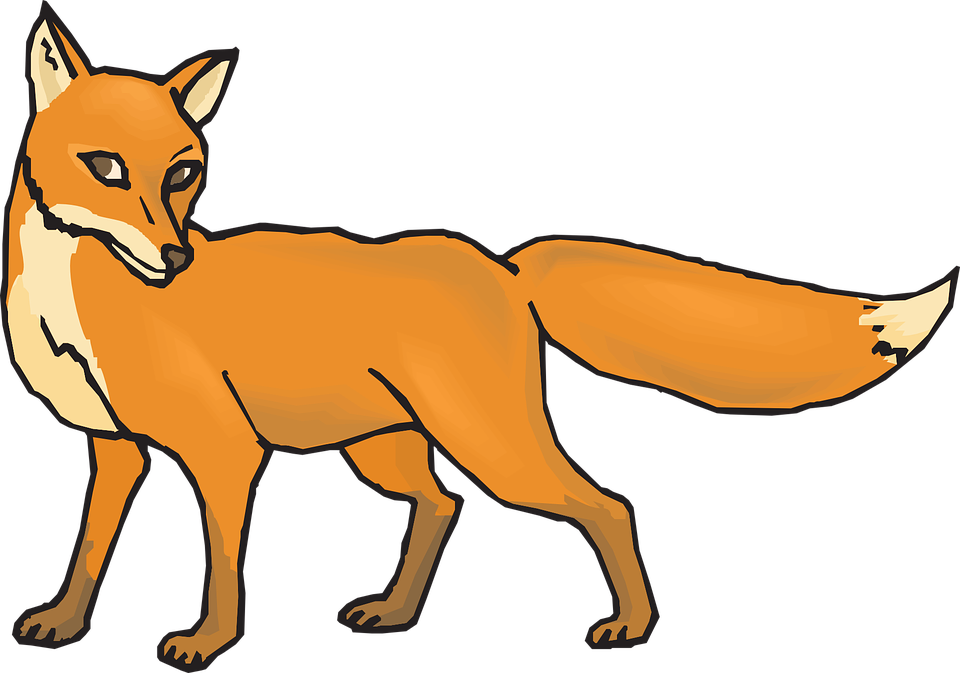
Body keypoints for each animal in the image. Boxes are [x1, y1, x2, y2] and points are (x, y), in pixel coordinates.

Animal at [4, 3, 957, 670]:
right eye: (106, 167)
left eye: (184, 172)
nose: (174, 258)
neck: (70, 305)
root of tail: (503, 264)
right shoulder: (113, 448)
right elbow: (89, 549)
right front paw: (60, 623)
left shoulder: (224, 450)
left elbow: (224, 562)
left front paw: (207, 642)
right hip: (385, 447)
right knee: (442, 504)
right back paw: (395, 612)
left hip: (492, 443)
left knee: (605, 505)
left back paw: (630, 625)